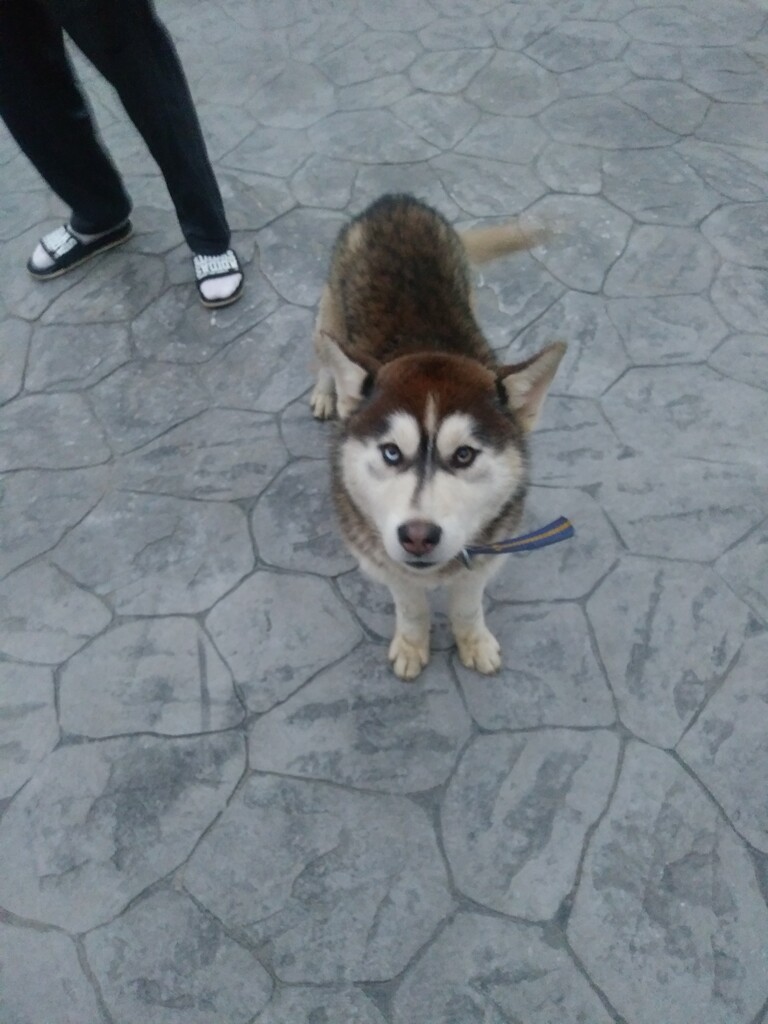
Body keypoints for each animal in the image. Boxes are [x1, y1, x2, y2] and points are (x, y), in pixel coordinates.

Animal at [310, 194, 566, 680]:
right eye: (392, 452)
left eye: (464, 455)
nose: (418, 536)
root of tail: (397, 200)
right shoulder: (383, 560)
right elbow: (410, 605)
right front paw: (413, 643)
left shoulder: (485, 554)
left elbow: (467, 605)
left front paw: (473, 640)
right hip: (327, 314)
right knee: (324, 352)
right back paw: (324, 390)